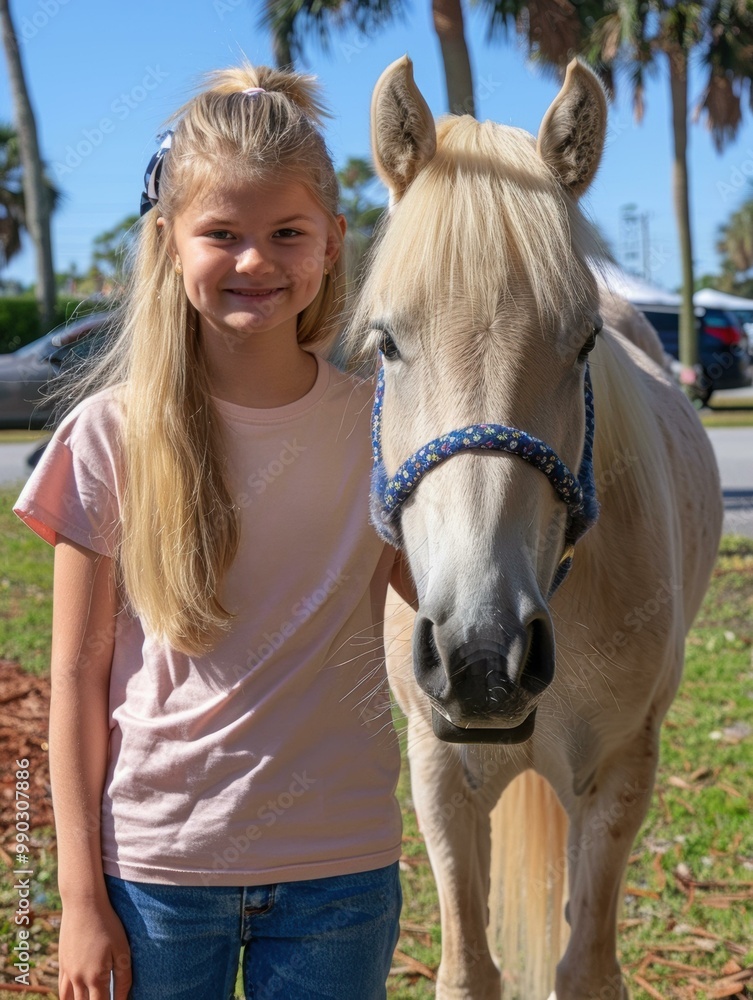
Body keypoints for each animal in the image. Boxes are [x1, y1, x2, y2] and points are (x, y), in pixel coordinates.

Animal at [352, 56, 724, 1000]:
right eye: (386, 344)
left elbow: (583, 967)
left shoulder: (620, 773)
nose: (482, 657)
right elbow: (468, 968)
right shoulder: (439, 775)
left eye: (583, 340)